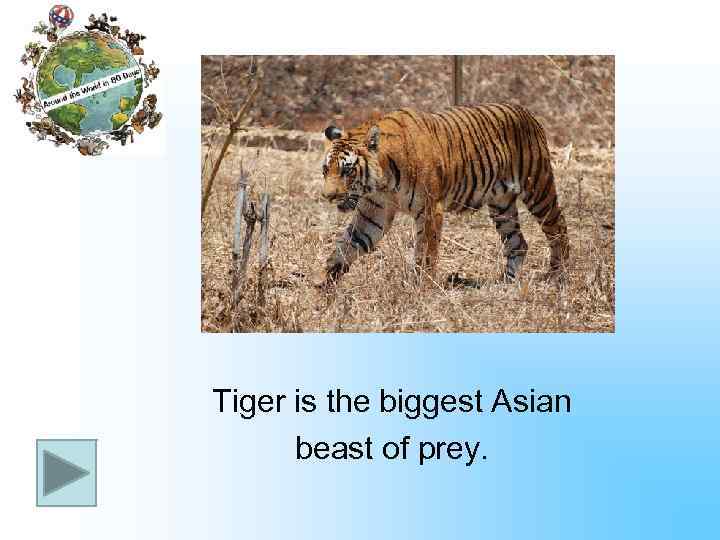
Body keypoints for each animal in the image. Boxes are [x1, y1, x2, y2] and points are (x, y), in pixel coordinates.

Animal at [317, 104, 570, 287]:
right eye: (325, 169)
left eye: (347, 170)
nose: (328, 196)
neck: (382, 183)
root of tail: (527, 113)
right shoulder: (374, 213)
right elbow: (346, 246)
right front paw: (324, 287)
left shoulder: (430, 210)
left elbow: (425, 253)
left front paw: (421, 289)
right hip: (502, 205)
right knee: (518, 243)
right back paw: (505, 284)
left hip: (538, 189)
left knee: (558, 228)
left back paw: (558, 276)